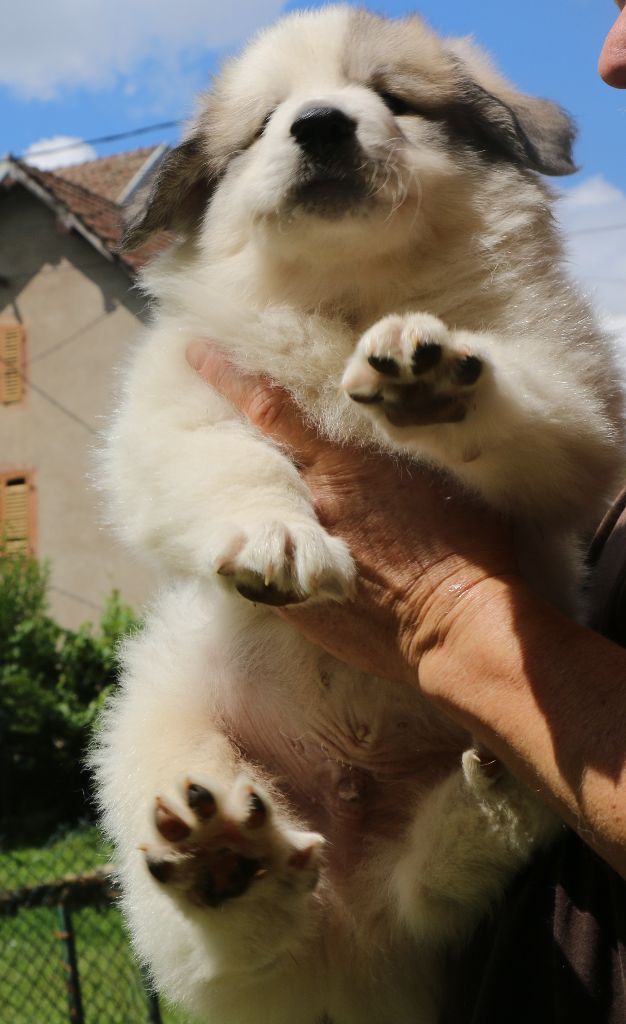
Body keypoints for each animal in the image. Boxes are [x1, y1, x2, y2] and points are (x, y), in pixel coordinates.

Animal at [93, 7, 625, 1022]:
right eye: (268, 122)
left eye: (391, 99)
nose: (322, 126)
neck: (347, 299)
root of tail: (345, 963)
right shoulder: (171, 419)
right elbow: (238, 463)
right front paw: (281, 538)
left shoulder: (578, 412)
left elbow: (525, 408)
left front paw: (437, 373)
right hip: (152, 736)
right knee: (226, 942)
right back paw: (227, 860)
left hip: (418, 885)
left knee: (429, 893)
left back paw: (494, 804)